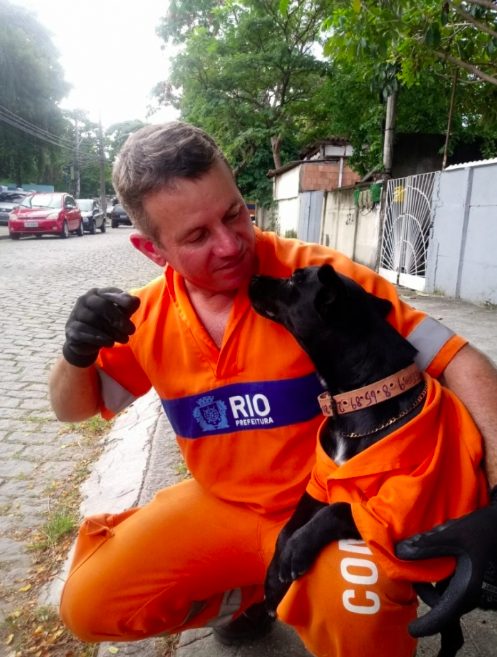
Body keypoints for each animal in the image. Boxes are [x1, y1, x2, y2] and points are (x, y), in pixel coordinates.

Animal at [248, 264, 484, 656]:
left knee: (453, 634)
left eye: (295, 279)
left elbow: (340, 509)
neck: (361, 398)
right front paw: (273, 578)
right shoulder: (318, 483)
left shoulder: (397, 512)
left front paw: (298, 549)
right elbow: (286, 529)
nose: (251, 278)